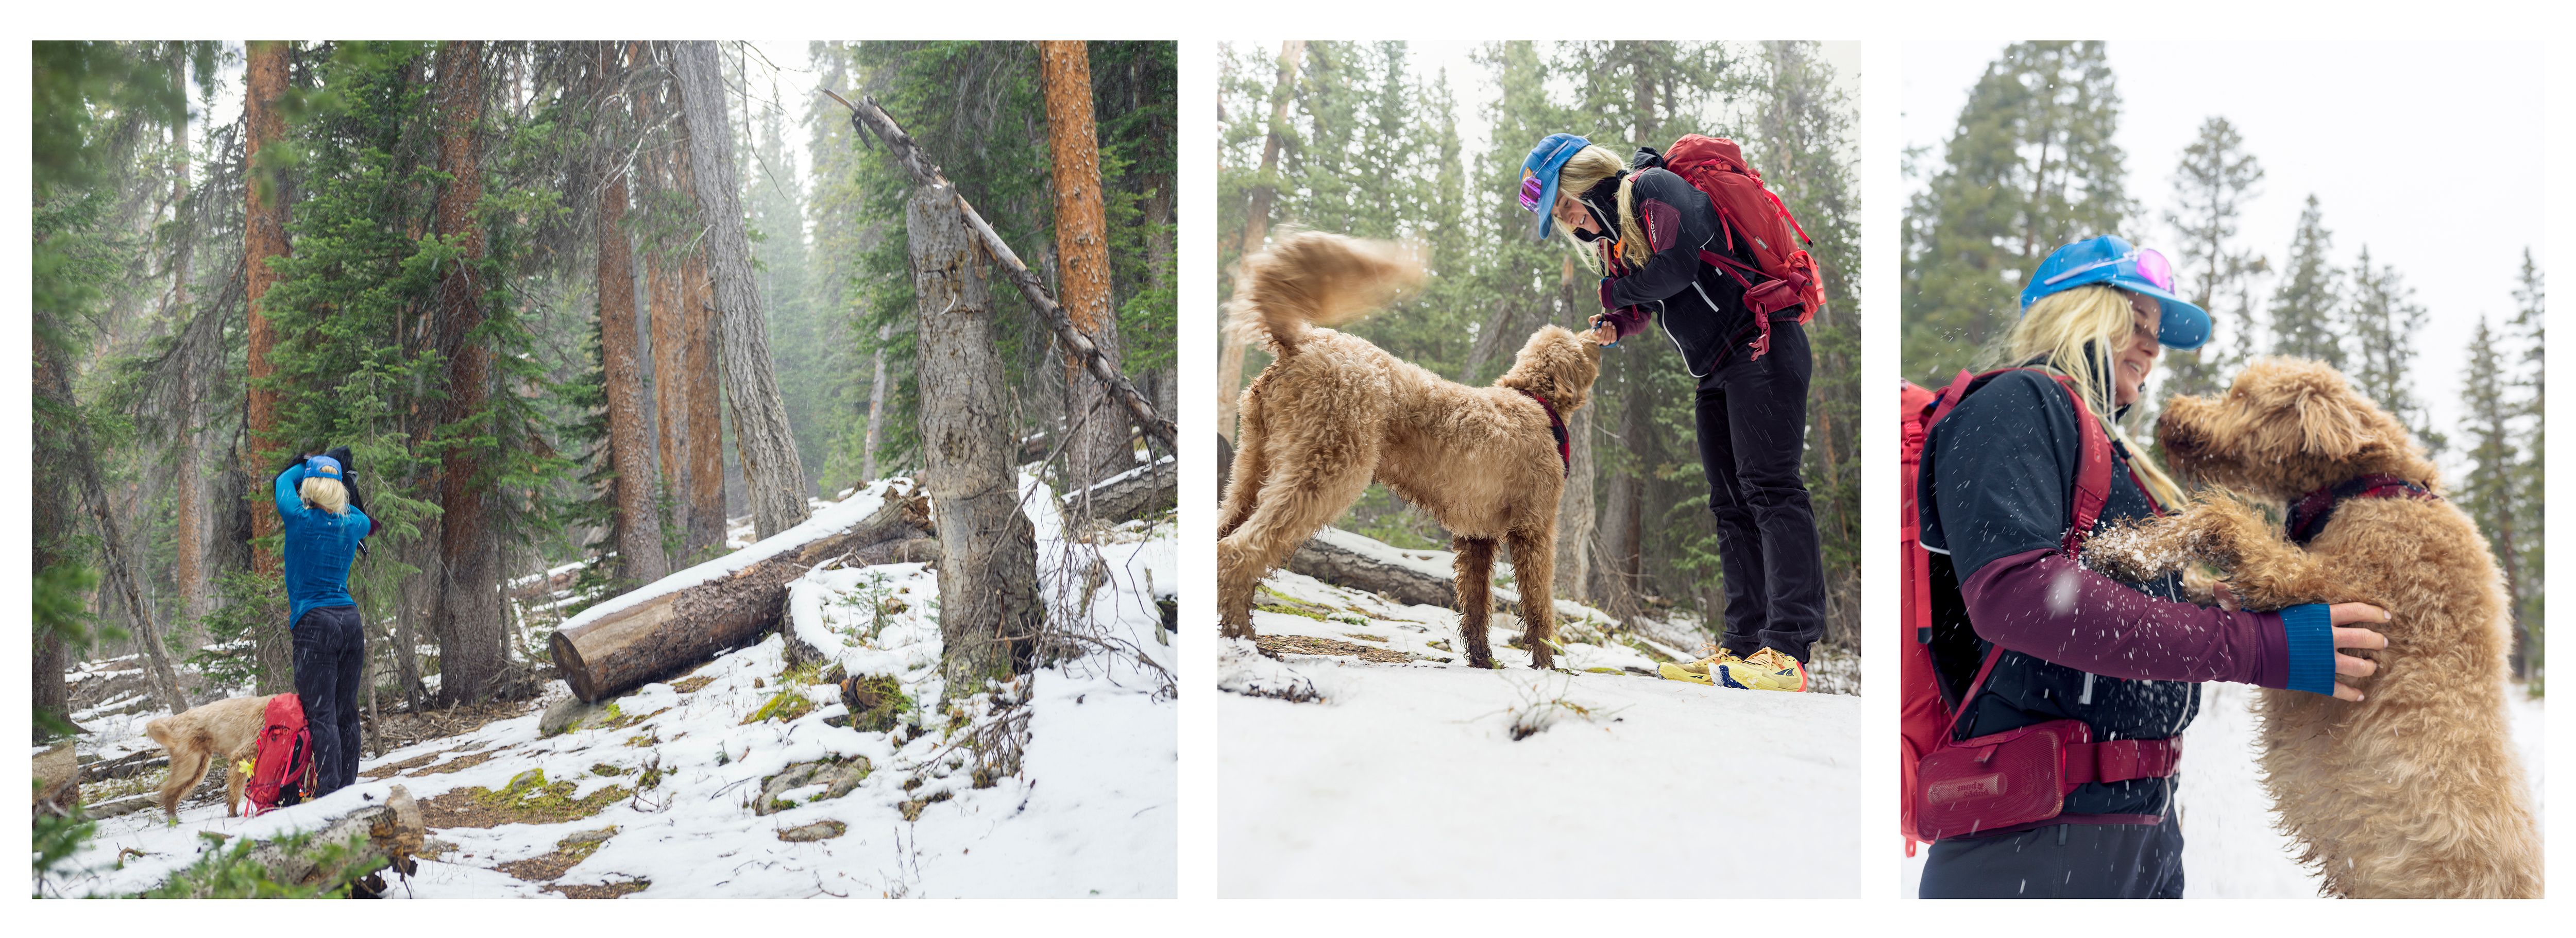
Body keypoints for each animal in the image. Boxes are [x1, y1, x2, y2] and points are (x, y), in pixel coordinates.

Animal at [143, 690, 277, 819]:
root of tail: (176, 720)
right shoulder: (243, 754)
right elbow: (235, 790)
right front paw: (233, 813)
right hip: (189, 763)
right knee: (168, 789)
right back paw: (172, 818)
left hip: (199, 766)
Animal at [1216, 230, 1597, 670]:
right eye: (1579, 345)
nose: (1598, 332)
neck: (1533, 400)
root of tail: (1301, 344)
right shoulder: (1535, 529)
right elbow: (1539, 605)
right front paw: (1547, 663)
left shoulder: (1477, 536)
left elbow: (1476, 604)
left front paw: (1483, 660)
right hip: (1324, 470)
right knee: (1238, 551)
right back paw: (1245, 638)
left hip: (1252, 469)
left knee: (1222, 536)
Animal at [2092, 355, 2535, 896]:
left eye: (2243, 396)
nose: (2168, 413)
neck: (2370, 487)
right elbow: (2220, 582)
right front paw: (2174, 572)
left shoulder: (2334, 587)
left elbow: (2221, 520)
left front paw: (2125, 549)